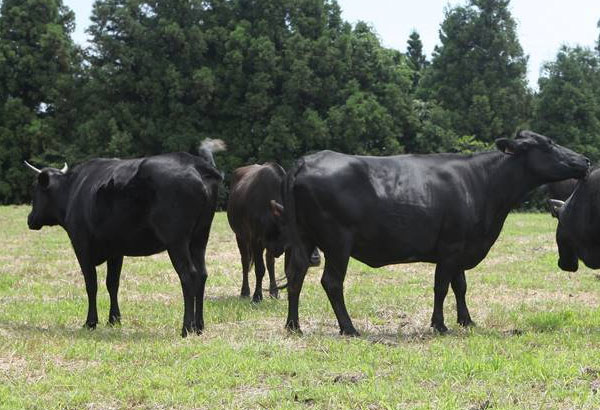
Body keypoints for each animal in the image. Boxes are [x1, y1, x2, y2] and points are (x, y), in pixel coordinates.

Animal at [24, 139, 227, 338]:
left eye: (35, 190)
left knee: (188, 275)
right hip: (199, 238)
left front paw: (90, 322)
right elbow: (112, 283)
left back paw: (186, 328)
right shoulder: (115, 250)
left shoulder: (81, 244)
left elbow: (91, 284)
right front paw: (114, 319)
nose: (30, 219)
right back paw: (199, 326)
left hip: (177, 241)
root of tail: (195, 163)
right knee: (201, 274)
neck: (73, 190)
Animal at [226, 163, 318, 302]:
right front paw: (257, 296)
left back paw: (273, 291)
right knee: (245, 262)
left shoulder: (288, 246)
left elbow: (287, 271)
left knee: (270, 263)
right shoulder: (256, 240)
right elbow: (259, 269)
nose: (315, 258)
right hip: (240, 236)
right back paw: (245, 291)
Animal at [274, 131, 592, 336]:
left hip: (304, 240)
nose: (586, 161)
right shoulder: (450, 247)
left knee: (295, 274)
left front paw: (467, 321)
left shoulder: (462, 246)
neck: (484, 184)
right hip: (338, 242)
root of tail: (306, 160)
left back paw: (294, 325)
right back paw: (349, 328)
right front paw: (439, 324)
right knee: (331, 282)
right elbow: (441, 286)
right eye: (548, 144)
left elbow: (460, 286)